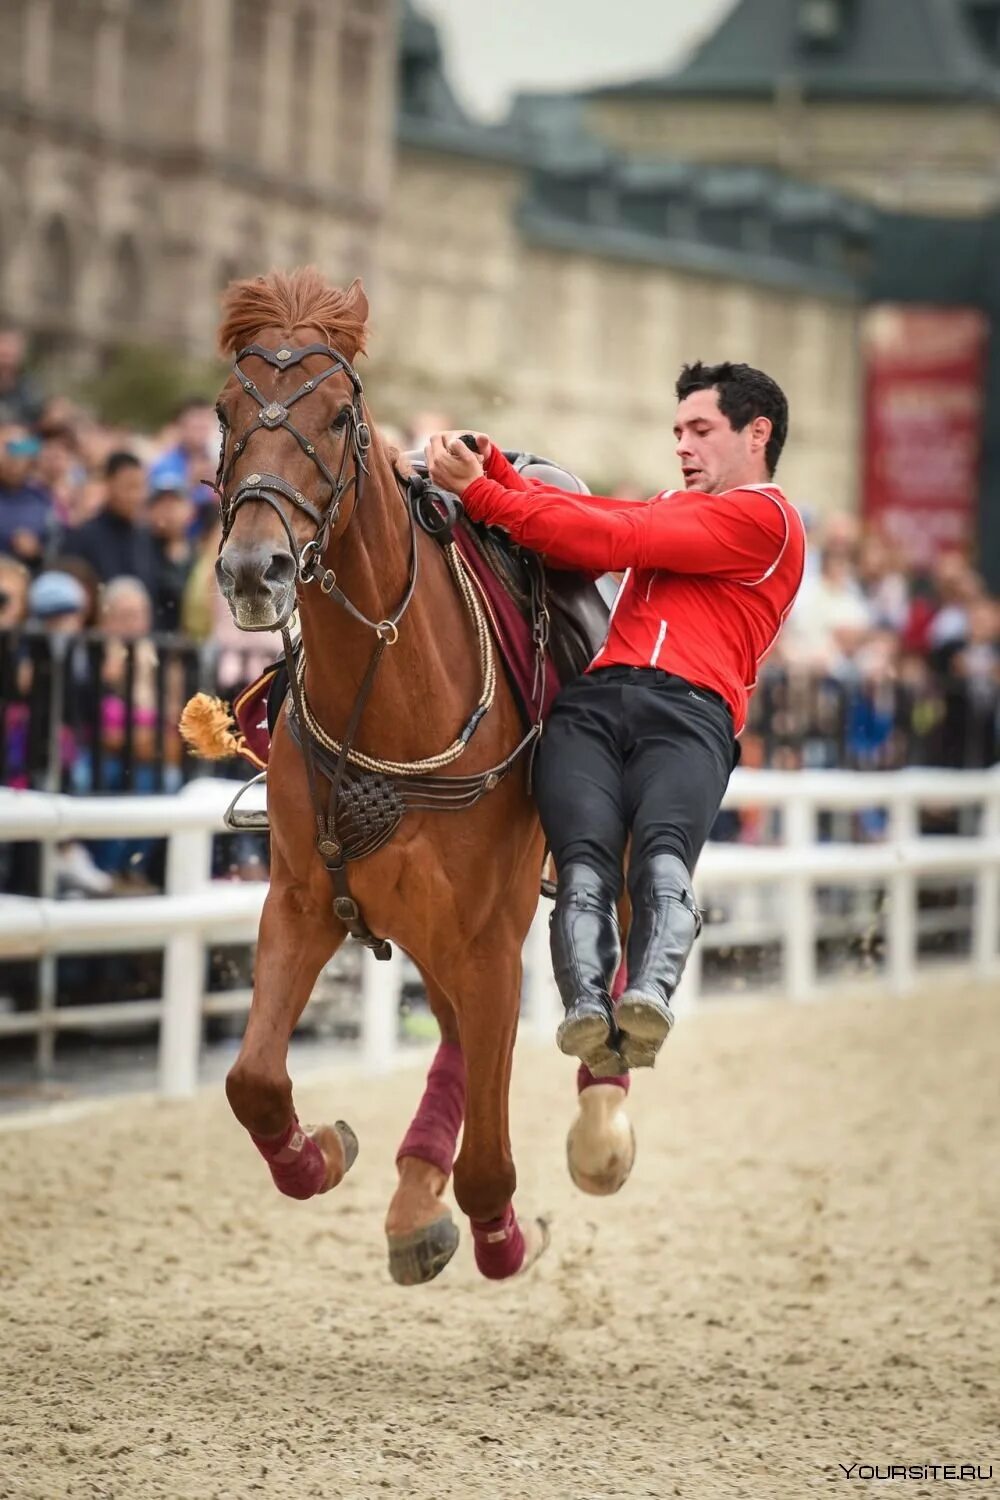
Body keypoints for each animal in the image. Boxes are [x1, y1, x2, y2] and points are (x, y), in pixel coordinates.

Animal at [211, 267, 632, 1278]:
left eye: (336, 417)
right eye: (223, 411)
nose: (254, 568)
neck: (393, 698)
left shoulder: (488, 937)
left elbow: (490, 1158)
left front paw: (503, 1231)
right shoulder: (303, 899)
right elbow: (253, 1081)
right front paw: (320, 1153)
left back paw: (601, 1121)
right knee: (447, 1036)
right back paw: (412, 1195)